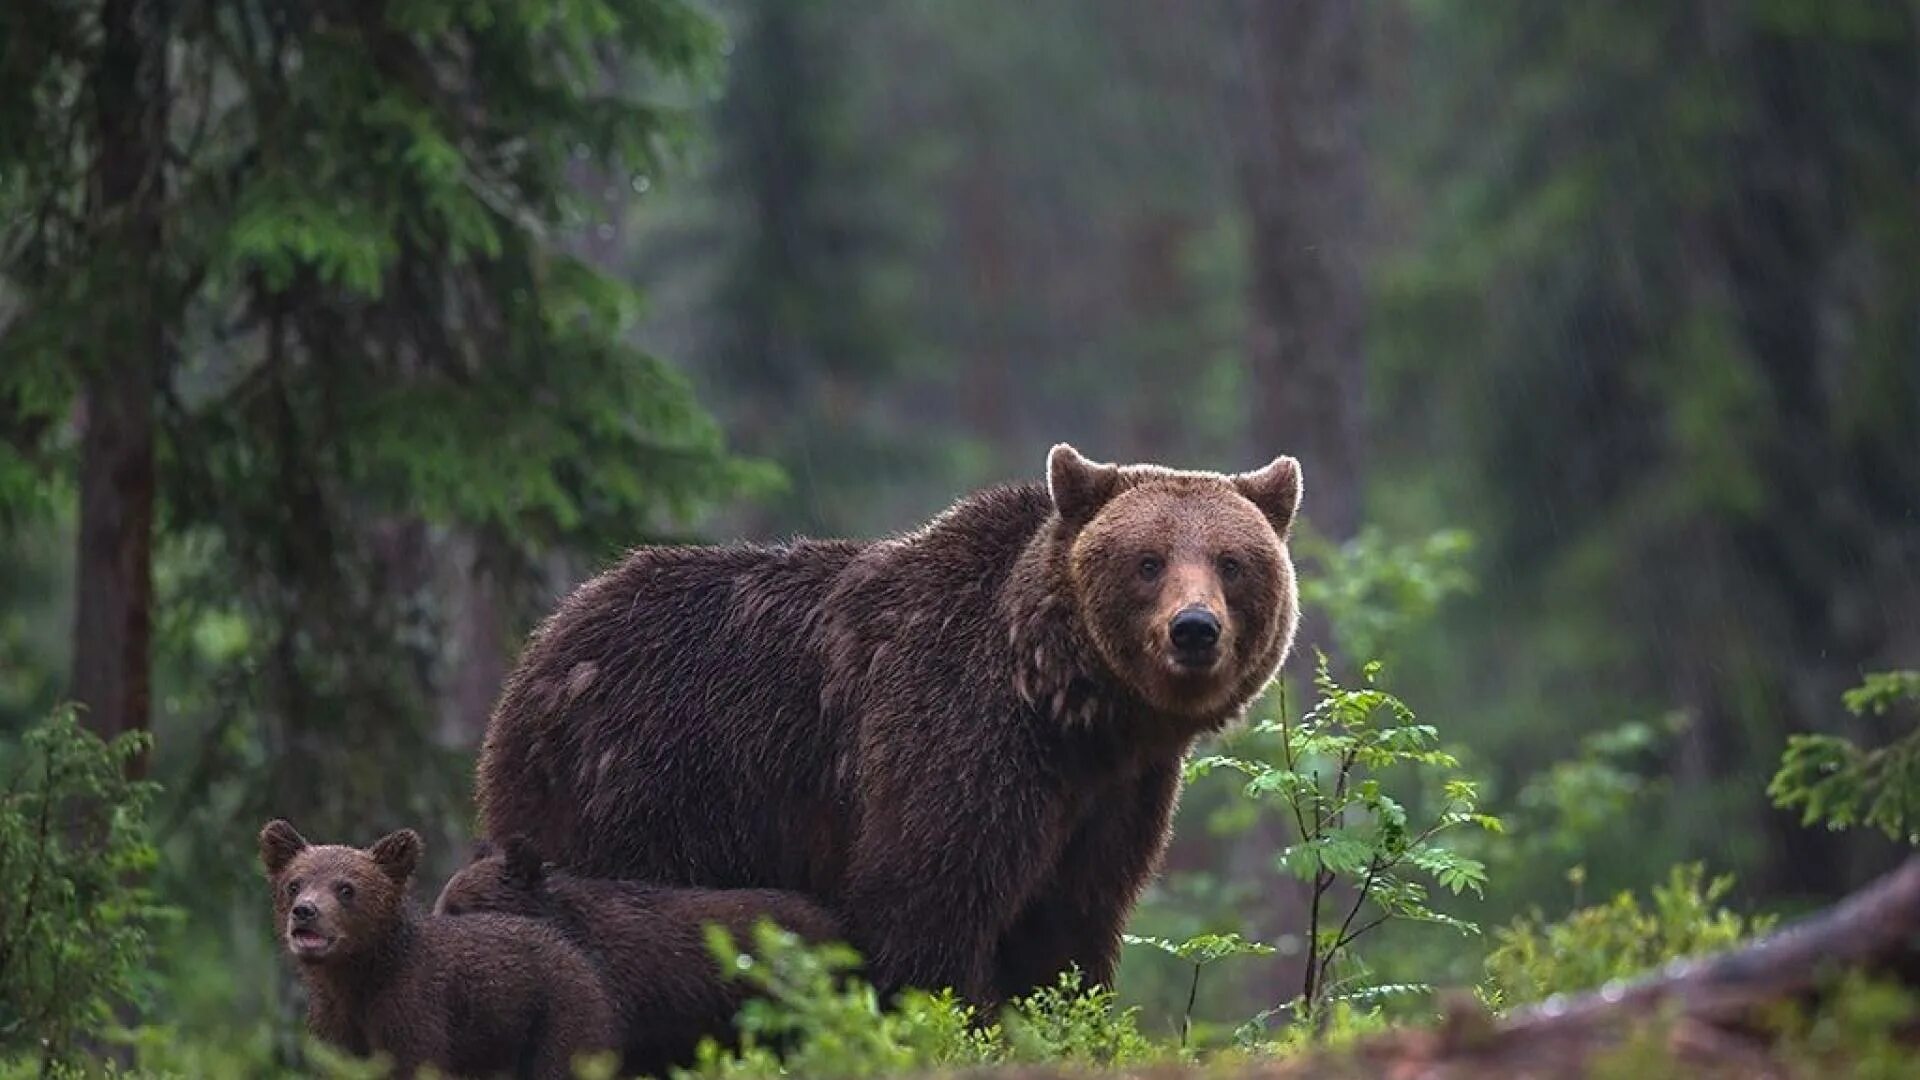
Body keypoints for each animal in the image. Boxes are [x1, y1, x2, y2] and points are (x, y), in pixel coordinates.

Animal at [476, 441, 1305, 1006]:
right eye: (1148, 560)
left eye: (1231, 561)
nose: (1194, 630)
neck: (1069, 704)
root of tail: (542, 647)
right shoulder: (955, 736)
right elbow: (923, 903)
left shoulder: (1113, 797)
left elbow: (1070, 926)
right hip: (642, 785)